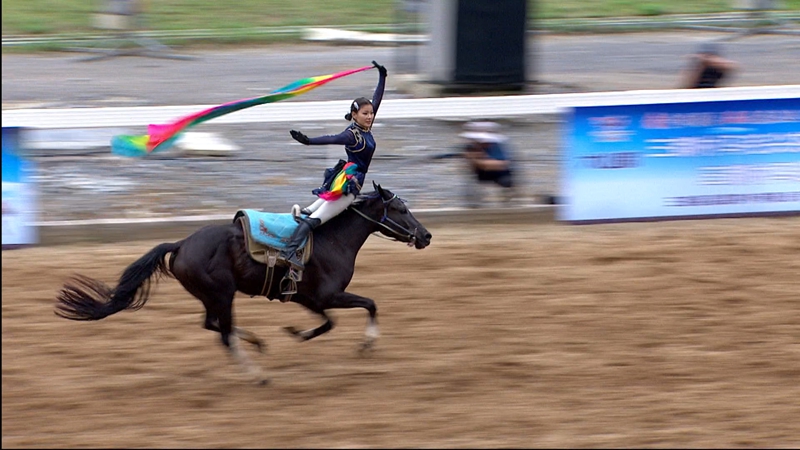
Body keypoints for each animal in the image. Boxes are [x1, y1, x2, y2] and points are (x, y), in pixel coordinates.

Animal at [54, 184, 432, 385]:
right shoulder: (330, 294)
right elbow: (369, 304)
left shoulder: (308, 298)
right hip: (222, 293)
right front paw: (367, 343)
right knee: (222, 333)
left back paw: (256, 342)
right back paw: (257, 374)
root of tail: (181, 244)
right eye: (401, 209)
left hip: (212, 296)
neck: (331, 239)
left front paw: (297, 333)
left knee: (212, 325)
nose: (426, 235)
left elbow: (328, 323)